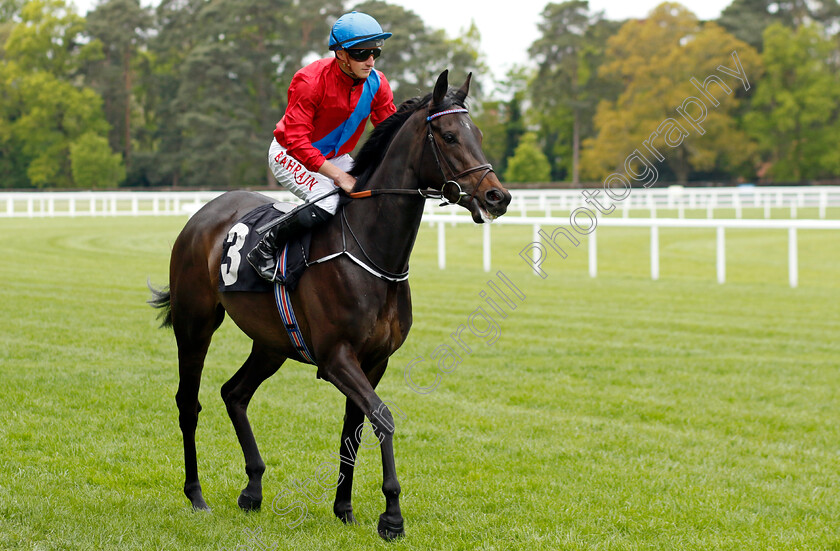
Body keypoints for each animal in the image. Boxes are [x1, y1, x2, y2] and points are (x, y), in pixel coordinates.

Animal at [148, 69, 508, 540]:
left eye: (478, 134)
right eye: (449, 135)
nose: (497, 197)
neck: (373, 253)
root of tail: (202, 215)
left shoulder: (374, 360)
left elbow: (353, 429)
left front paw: (345, 508)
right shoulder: (336, 357)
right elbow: (383, 417)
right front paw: (392, 515)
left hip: (271, 343)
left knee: (234, 393)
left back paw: (253, 488)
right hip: (195, 325)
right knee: (189, 403)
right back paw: (196, 495)